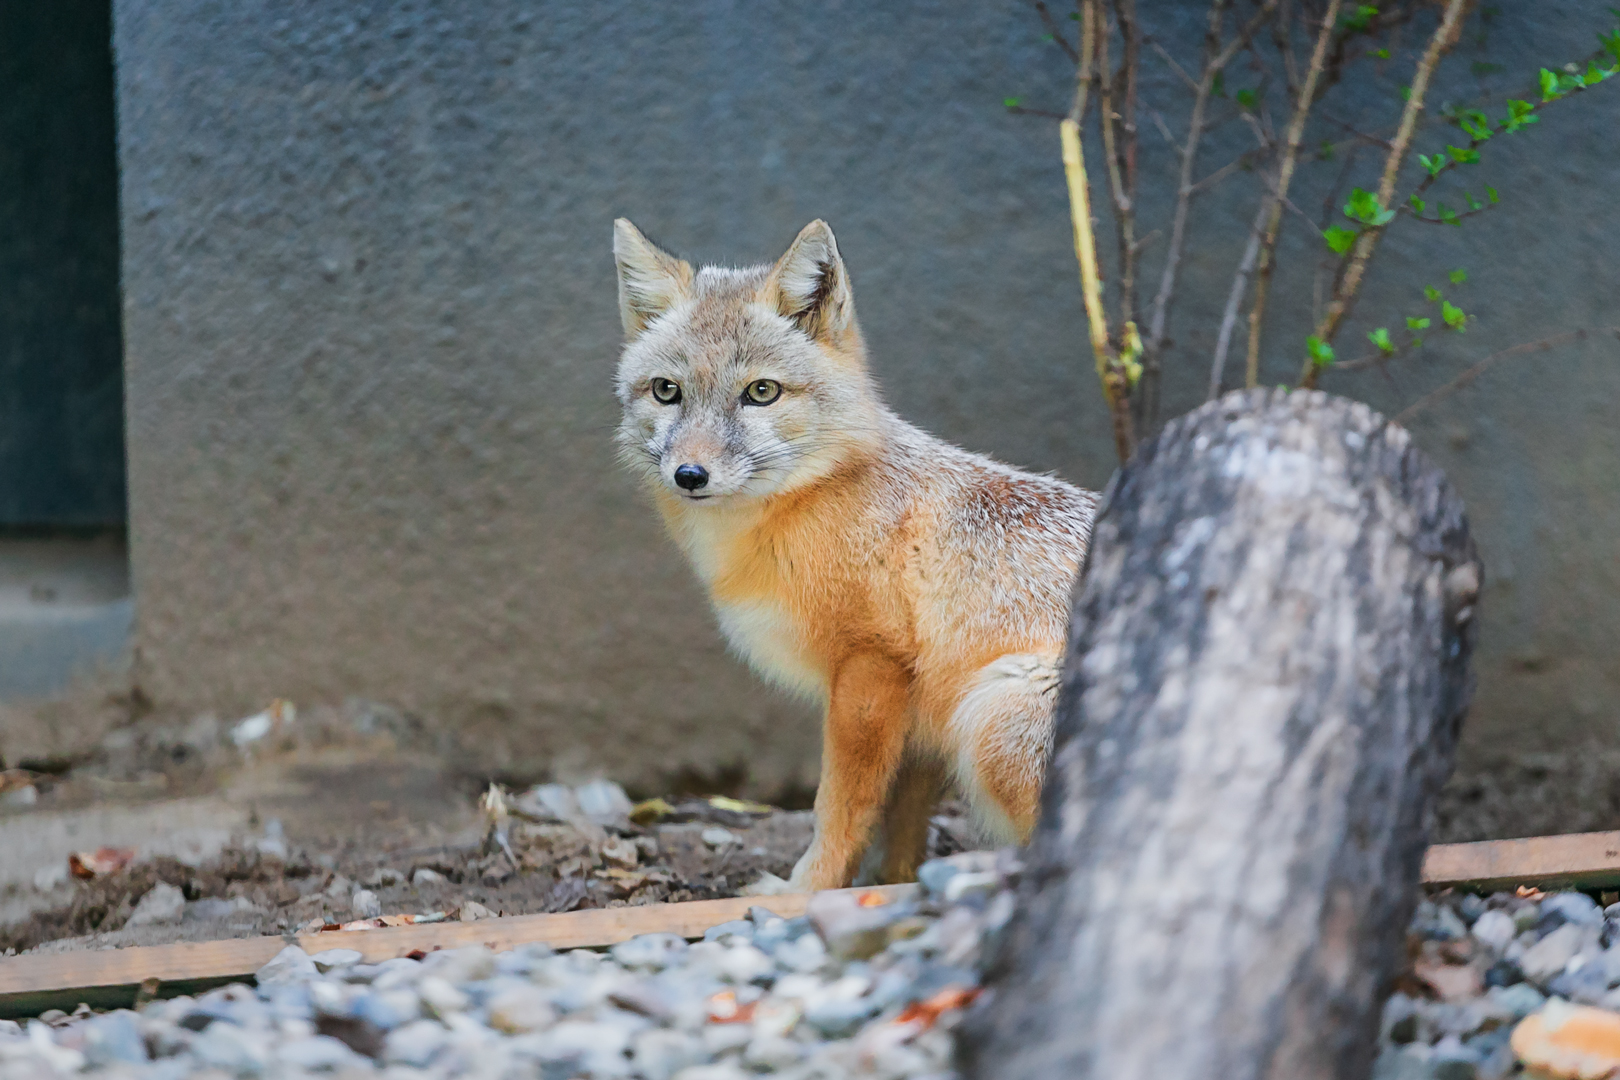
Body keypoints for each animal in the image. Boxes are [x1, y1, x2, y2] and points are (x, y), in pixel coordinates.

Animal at [612, 218, 1099, 892]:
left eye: (760, 392)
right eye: (667, 392)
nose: (690, 474)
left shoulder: (870, 668)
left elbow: (840, 806)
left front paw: (808, 889)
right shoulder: (916, 719)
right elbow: (898, 824)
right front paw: (886, 883)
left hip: (997, 711)